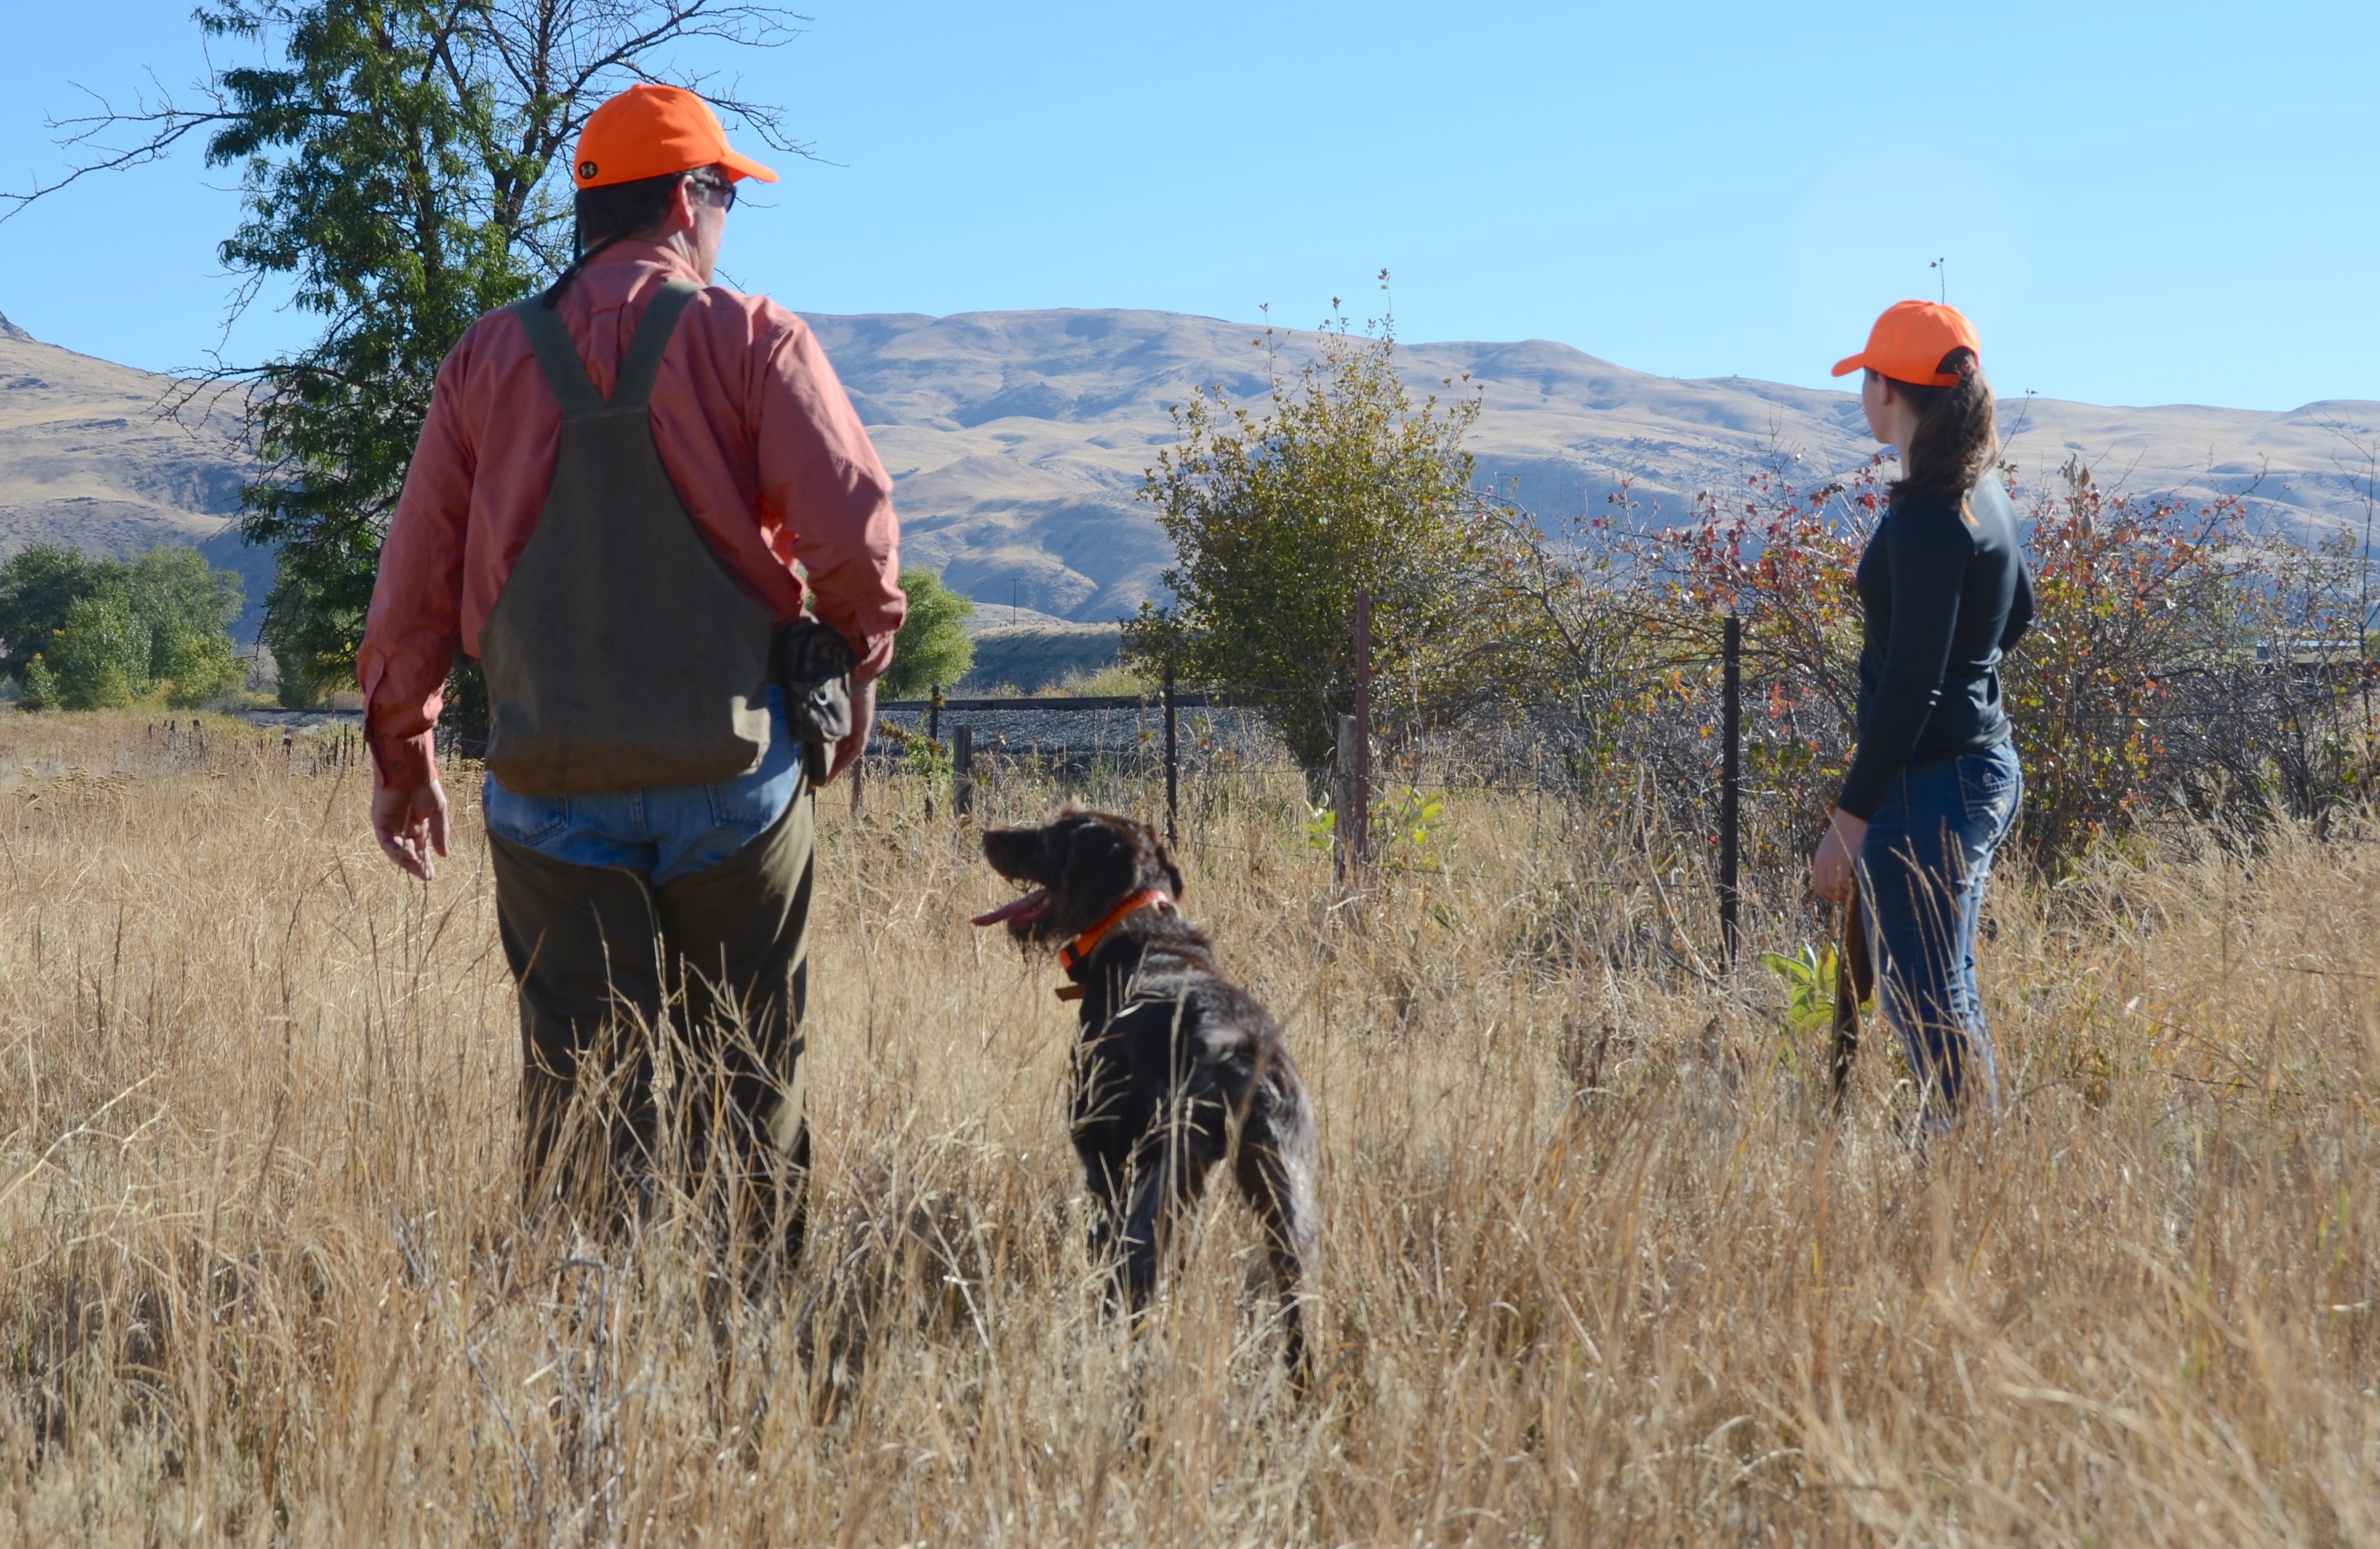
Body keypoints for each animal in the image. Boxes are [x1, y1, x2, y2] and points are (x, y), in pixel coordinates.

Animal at [975, 813, 1333, 1380]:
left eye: (1052, 835)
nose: (989, 836)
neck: (1141, 924)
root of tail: (1236, 1044)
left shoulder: (1104, 1169)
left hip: (1152, 1189)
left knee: (1130, 1295)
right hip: (1290, 1207)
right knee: (1301, 1319)